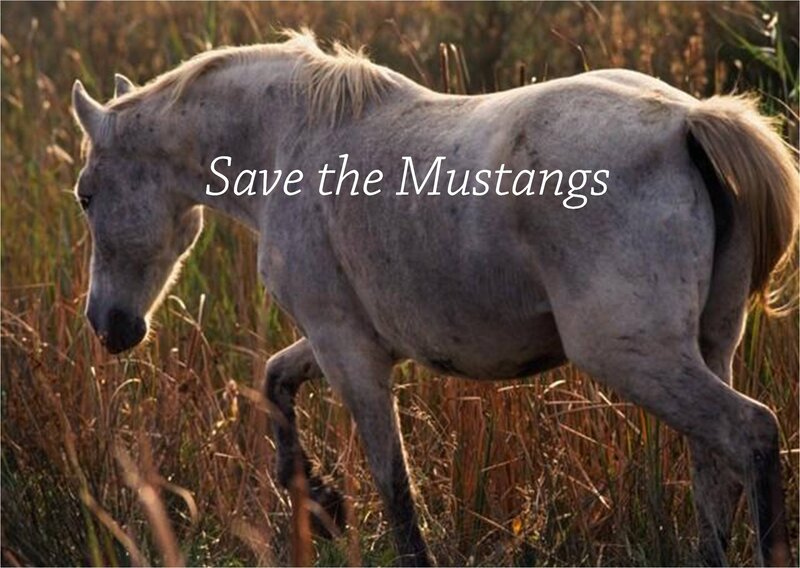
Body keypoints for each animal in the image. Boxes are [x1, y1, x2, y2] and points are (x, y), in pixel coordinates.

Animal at [71, 30, 798, 566]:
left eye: (84, 195)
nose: (108, 326)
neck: (290, 143)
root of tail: (686, 122)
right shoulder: (345, 341)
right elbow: (275, 380)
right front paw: (317, 501)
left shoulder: (349, 351)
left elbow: (394, 487)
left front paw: (327, 503)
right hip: (706, 348)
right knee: (715, 471)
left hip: (636, 357)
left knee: (752, 434)